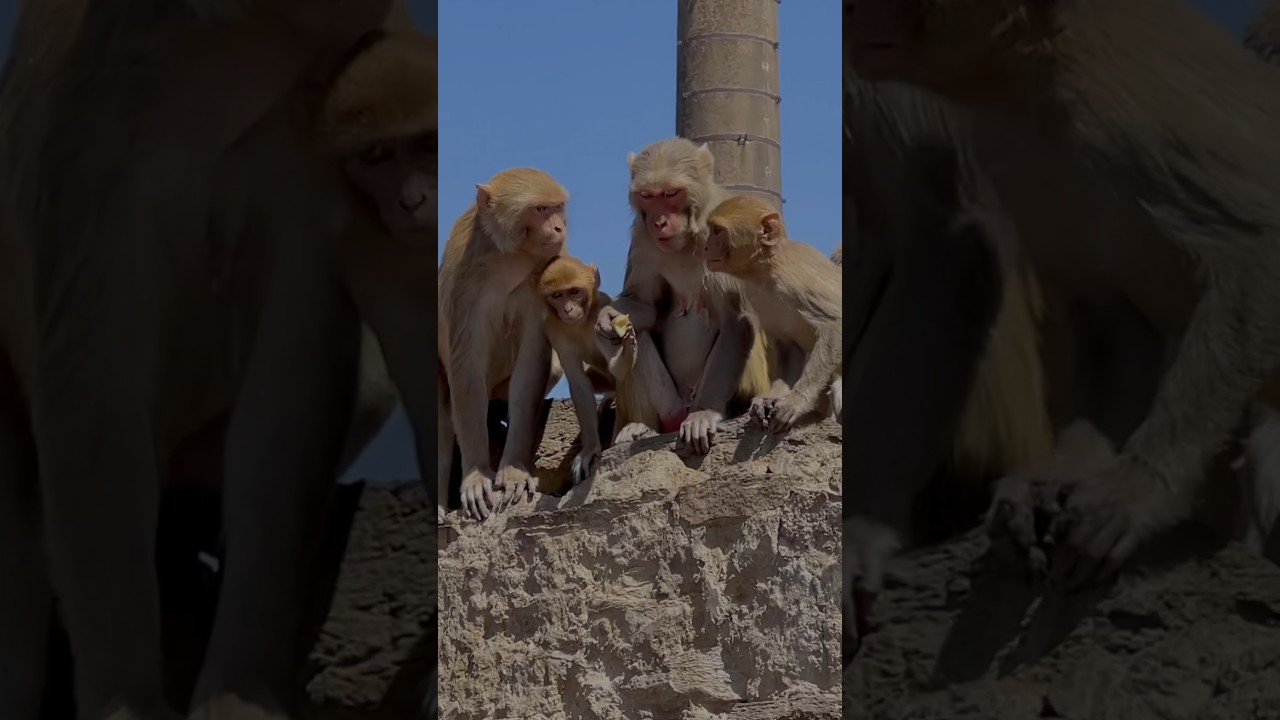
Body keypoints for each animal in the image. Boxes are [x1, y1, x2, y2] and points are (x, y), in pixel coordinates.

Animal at [438, 168, 568, 522]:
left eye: (558, 207)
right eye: (540, 209)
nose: (560, 228)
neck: (510, 256)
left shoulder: (546, 274)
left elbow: (532, 361)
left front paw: (513, 470)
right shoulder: (463, 281)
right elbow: (466, 367)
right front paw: (476, 475)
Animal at [594, 137, 772, 454]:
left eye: (670, 193)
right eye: (647, 196)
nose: (659, 222)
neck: (689, 236)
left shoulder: (730, 236)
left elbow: (737, 319)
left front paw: (705, 414)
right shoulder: (643, 240)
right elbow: (645, 306)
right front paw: (607, 319)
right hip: (671, 405)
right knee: (639, 332)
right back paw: (642, 426)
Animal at [702, 195, 843, 431]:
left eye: (717, 231)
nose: (705, 247)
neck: (768, 267)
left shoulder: (795, 278)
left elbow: (835, 324)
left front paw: (797, 400)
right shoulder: (757, 296)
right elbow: (788, 345)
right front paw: (772, 396)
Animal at [847, 0, 1280, 594]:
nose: (853, 20)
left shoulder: (1129, 108)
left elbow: (1257, 251)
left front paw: (1137, 491)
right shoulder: (1026, 160)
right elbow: (1110, 313)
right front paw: (1062, 474)